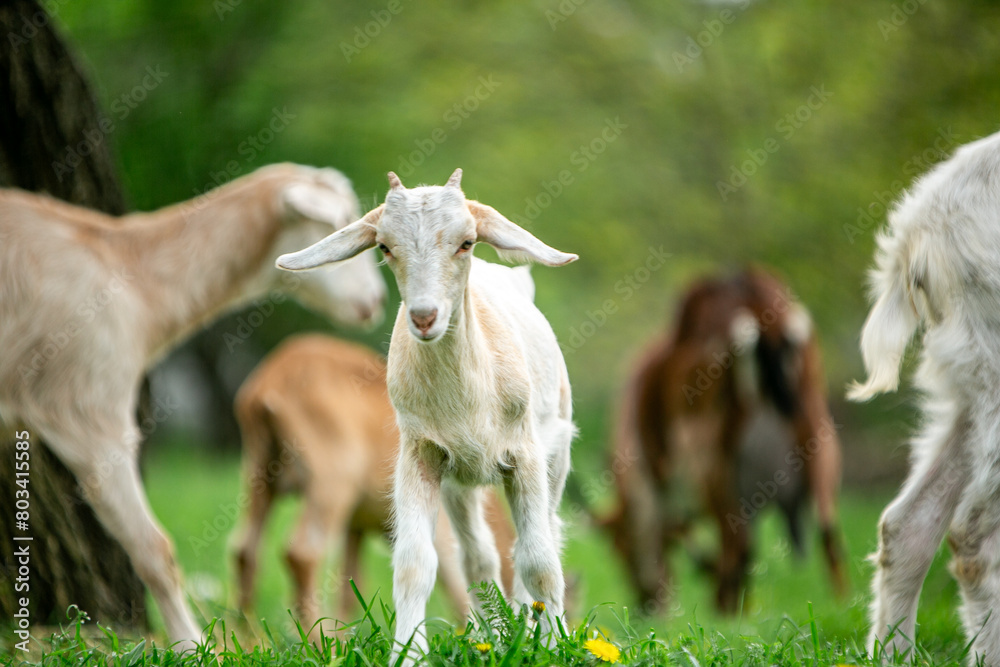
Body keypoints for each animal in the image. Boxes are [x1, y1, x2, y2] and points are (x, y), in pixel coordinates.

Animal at [0, 163, 387, 650]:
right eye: (344, 223)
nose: (377, 301)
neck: (135, 277)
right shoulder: (88, 410)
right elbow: (153, 548)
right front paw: (191, 645)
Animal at [232, 333, 515, 637]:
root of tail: (270, 383)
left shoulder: (355, 526)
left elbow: (350, 584)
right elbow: (454, 580)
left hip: (259, 476)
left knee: (245, 549)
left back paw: (250, 638)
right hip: (330, 483)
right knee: (302, 553)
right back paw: (318, 641)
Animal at [276, 169, 577, 664]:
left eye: (467, 242)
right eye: (384, 247)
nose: (423, 316)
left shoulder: (525, 453)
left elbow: (539, 560)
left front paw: (554, 646)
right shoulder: (421, 454)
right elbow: (415, 564)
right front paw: (408, 651)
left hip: (557, 450)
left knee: (543, 536)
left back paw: (530, 625)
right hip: (462, 481)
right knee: (478, 556)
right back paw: (498, 635)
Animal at [607, 268, 846, 614]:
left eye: (621, 548)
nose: (644, 605)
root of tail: (759, 304)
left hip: (713, 465)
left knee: (739, 544)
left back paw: (725, 613)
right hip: (819, 436)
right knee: (829, 535)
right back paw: (843, 606)